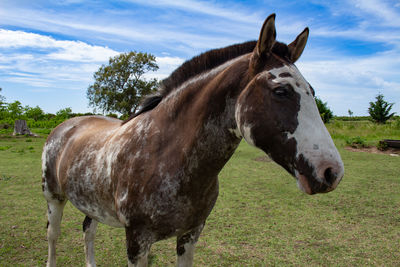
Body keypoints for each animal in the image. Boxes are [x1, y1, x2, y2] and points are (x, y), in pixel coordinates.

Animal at [43, 14, 344, 267]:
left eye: (312, 92)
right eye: (281, 91)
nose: (332, 172)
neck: (163, 156)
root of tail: (66, 126)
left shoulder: (190, 235)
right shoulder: (137, 242)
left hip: (92, 205)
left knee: (88, 231)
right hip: (54, 198)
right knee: (53, 236)